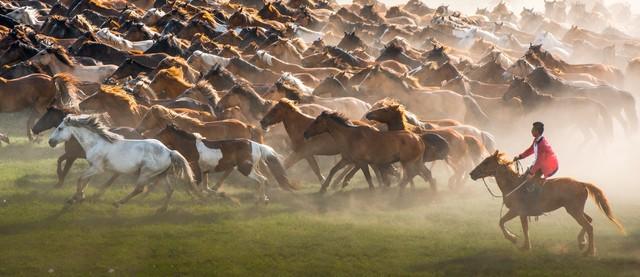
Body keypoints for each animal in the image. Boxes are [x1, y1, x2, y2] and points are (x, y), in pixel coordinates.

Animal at [470, 150, 624, 256]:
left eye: (486, 162)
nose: (472, 174)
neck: (513, 185)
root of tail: (581, 183)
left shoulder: (516, 211)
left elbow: (503, 222)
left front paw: (514, 240)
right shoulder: (522, 214)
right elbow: (523, 228)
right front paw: (524, 245)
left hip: (574, 211)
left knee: (589, 226)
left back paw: (589, 252)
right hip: (576, 210)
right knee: (589, 221)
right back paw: (581, 242)